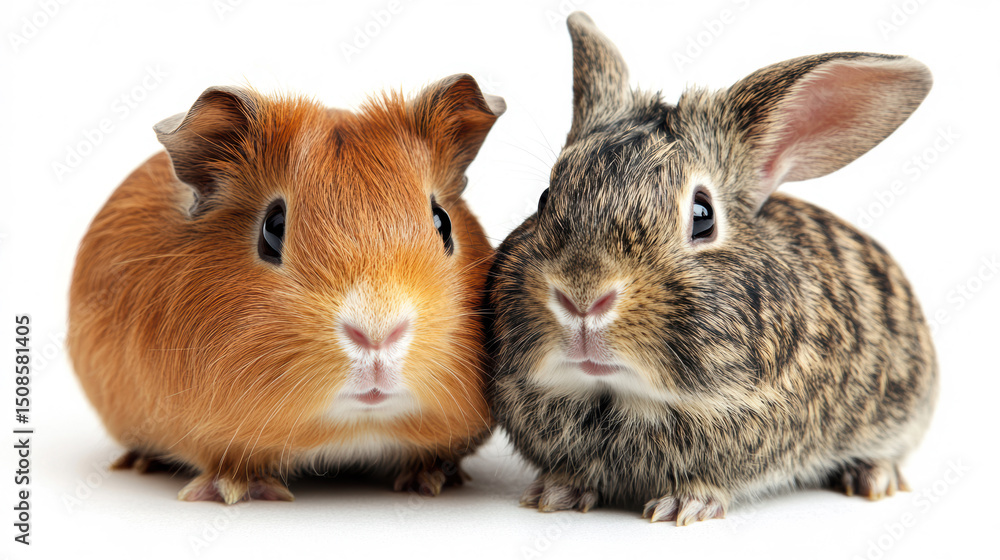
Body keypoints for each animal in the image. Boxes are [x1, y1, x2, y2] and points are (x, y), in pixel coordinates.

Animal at [486, 11, 938, 525]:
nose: (583, 297)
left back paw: (873, 477)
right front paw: (555, 492)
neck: (615, 396)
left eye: (703, 216)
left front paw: (686, 504)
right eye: (545, 199)